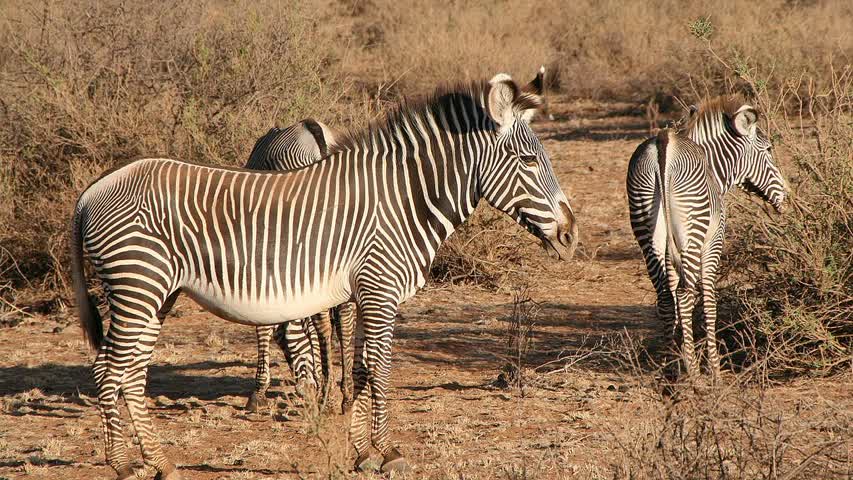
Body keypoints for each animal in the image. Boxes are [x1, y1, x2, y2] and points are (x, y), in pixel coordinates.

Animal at [241, 119, 358, 412]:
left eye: (283, 344)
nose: (305, 388)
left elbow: (264, 325)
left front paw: (258, 391)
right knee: (345, 316)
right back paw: (346, 396)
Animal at [624, 94, 784, 378]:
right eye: (767, 150)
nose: (786, 195)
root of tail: (663, 145)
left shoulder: (670, 253)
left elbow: (673, 293)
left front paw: (677, 356)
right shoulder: (714, 242)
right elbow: (709, 299)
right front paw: (714, 368)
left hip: (646, 226)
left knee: (665, 297)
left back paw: (668, 369)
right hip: (694, 228)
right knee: (686, 295)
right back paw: (695, 375)